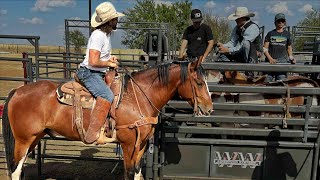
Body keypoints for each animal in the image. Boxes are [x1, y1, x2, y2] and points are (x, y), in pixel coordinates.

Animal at [2, 58, 214, 179]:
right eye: (199, 82)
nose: (209, 109)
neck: (138, 95)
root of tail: (17, 91)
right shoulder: (128, 144)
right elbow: (129, 173)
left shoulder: (141, 144)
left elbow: (137, 172)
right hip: (23, 140)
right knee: (16, 169)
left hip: (34, 138)